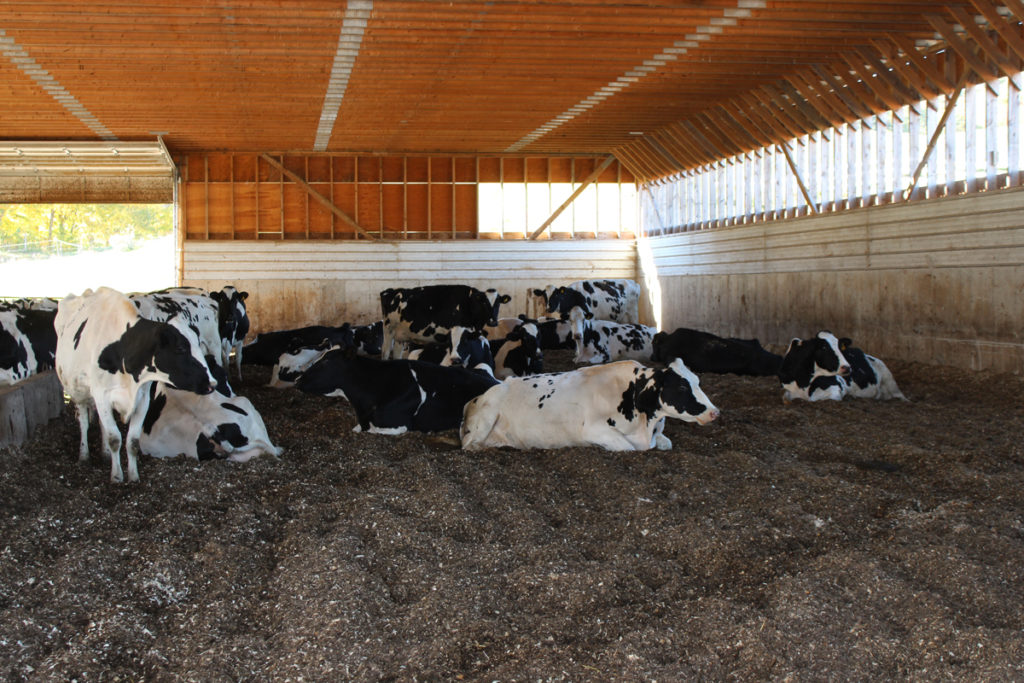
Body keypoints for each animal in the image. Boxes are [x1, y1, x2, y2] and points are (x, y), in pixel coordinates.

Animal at [55, 286, 218, 483]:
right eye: (180, 348)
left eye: (198, 344)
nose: (212, 383)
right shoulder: (101, 395)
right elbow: (114, 438)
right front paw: (117, 476)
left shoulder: (142, 398)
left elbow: (132, 441)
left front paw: (133, 476)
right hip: (78, 392)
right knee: (84, 422)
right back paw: (84, 454)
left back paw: (105, 453)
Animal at [378, 284, 509, 360]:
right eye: (484, 303)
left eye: (498, 303)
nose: (493, 322)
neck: (469, 303)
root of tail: (391, 291)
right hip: (388, 331)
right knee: (385, 353)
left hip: (400, 337)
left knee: (396, 354)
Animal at [464, 358, 720, 454]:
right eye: (682, 388)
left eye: (698, 381)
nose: (715, 412)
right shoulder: (593, 430)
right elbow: (629, 447)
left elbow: (666, 443)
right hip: (485, 419)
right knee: (469, 445)